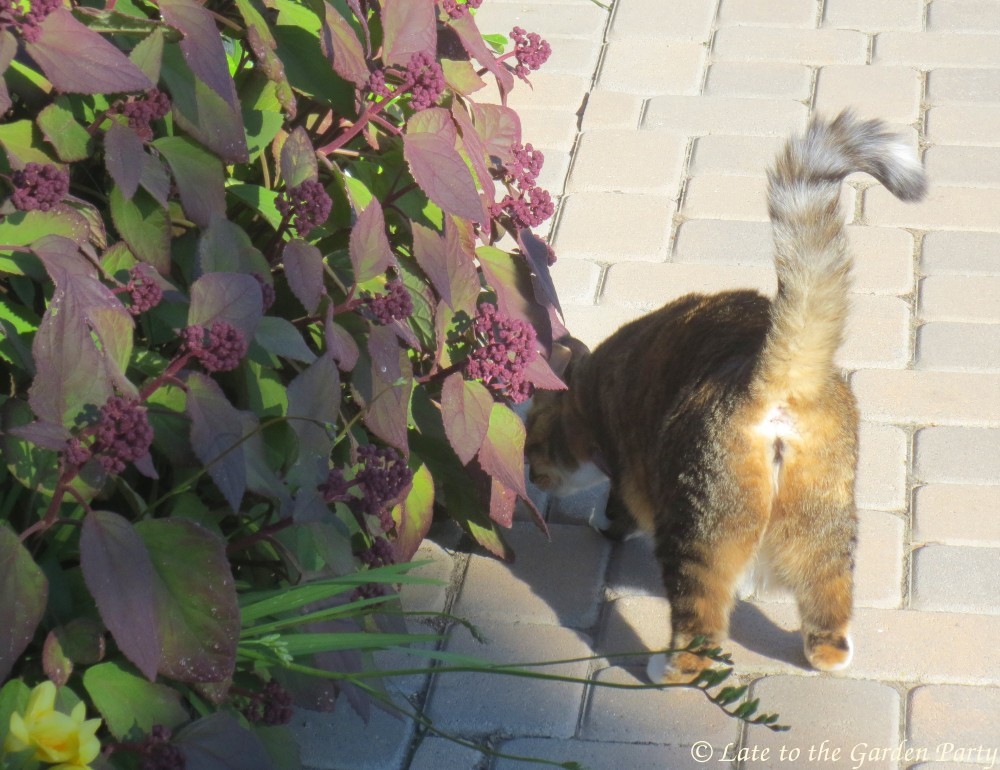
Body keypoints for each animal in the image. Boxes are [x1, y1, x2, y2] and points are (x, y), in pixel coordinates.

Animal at [525, 111, 927, 681]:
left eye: (530, 445)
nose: (530, 476)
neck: (589, 385)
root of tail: (776, 373)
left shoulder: (625, 462)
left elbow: (617, 508)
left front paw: (603, 520)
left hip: (697, 529)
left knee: (700, 627)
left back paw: (667, 668)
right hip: (826, 519)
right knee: (828, 602)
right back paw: (827, 652)